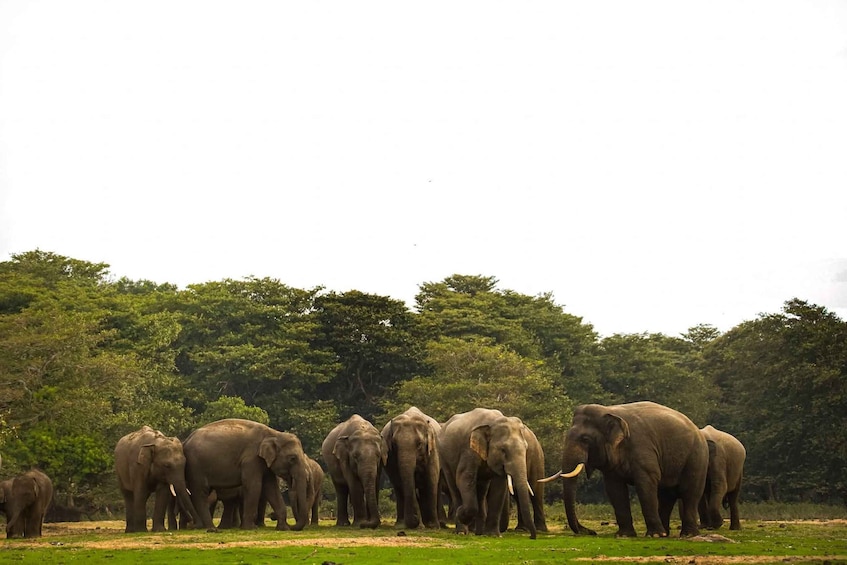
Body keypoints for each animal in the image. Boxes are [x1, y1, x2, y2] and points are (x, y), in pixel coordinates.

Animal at [438, 408, 538, 539]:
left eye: (526, 448)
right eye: (503, 450)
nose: (531, 537)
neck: (493, 421)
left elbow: (499, 487)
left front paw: (493, 535)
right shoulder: (468, 449)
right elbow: (464, 477)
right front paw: (460, 513)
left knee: (481, 491)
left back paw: (479, 533)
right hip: (444, 458)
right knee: (454, 487)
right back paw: (461, 531)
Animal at [541, 401, 708, 538]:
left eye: (585, 439)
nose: (591, 532)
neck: (609, 410)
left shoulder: (642, 447)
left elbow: (645, 485)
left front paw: (653, 535)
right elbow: (615, 489)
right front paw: (624, 535)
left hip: (697, 457)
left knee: (690, 492)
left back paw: (686, 535)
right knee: (666, 495)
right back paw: (665, 533)